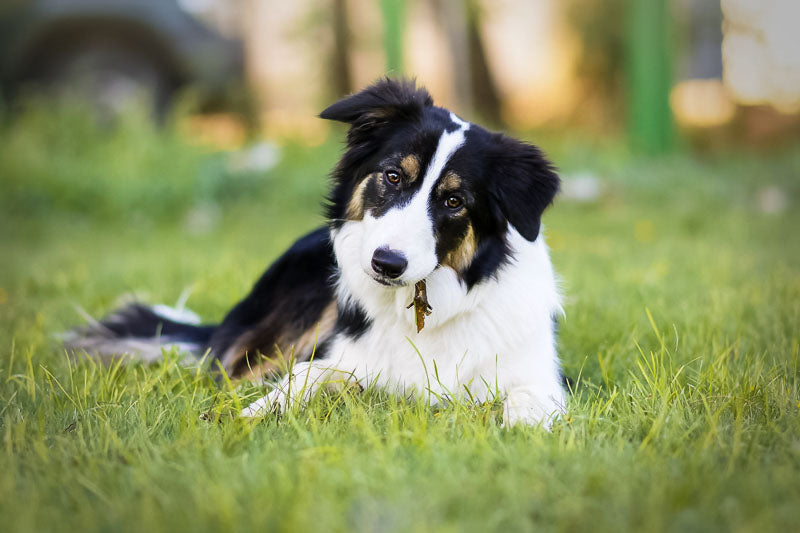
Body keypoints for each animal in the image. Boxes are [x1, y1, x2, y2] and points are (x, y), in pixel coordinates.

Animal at [70, 79, 568, 426]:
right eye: (392, 176)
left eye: (454, 200)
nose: (386, 264)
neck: (425, 306)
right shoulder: (347, 357)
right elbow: (305, 376)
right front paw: (245, 416)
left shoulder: (540, 376)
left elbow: (526, 404)